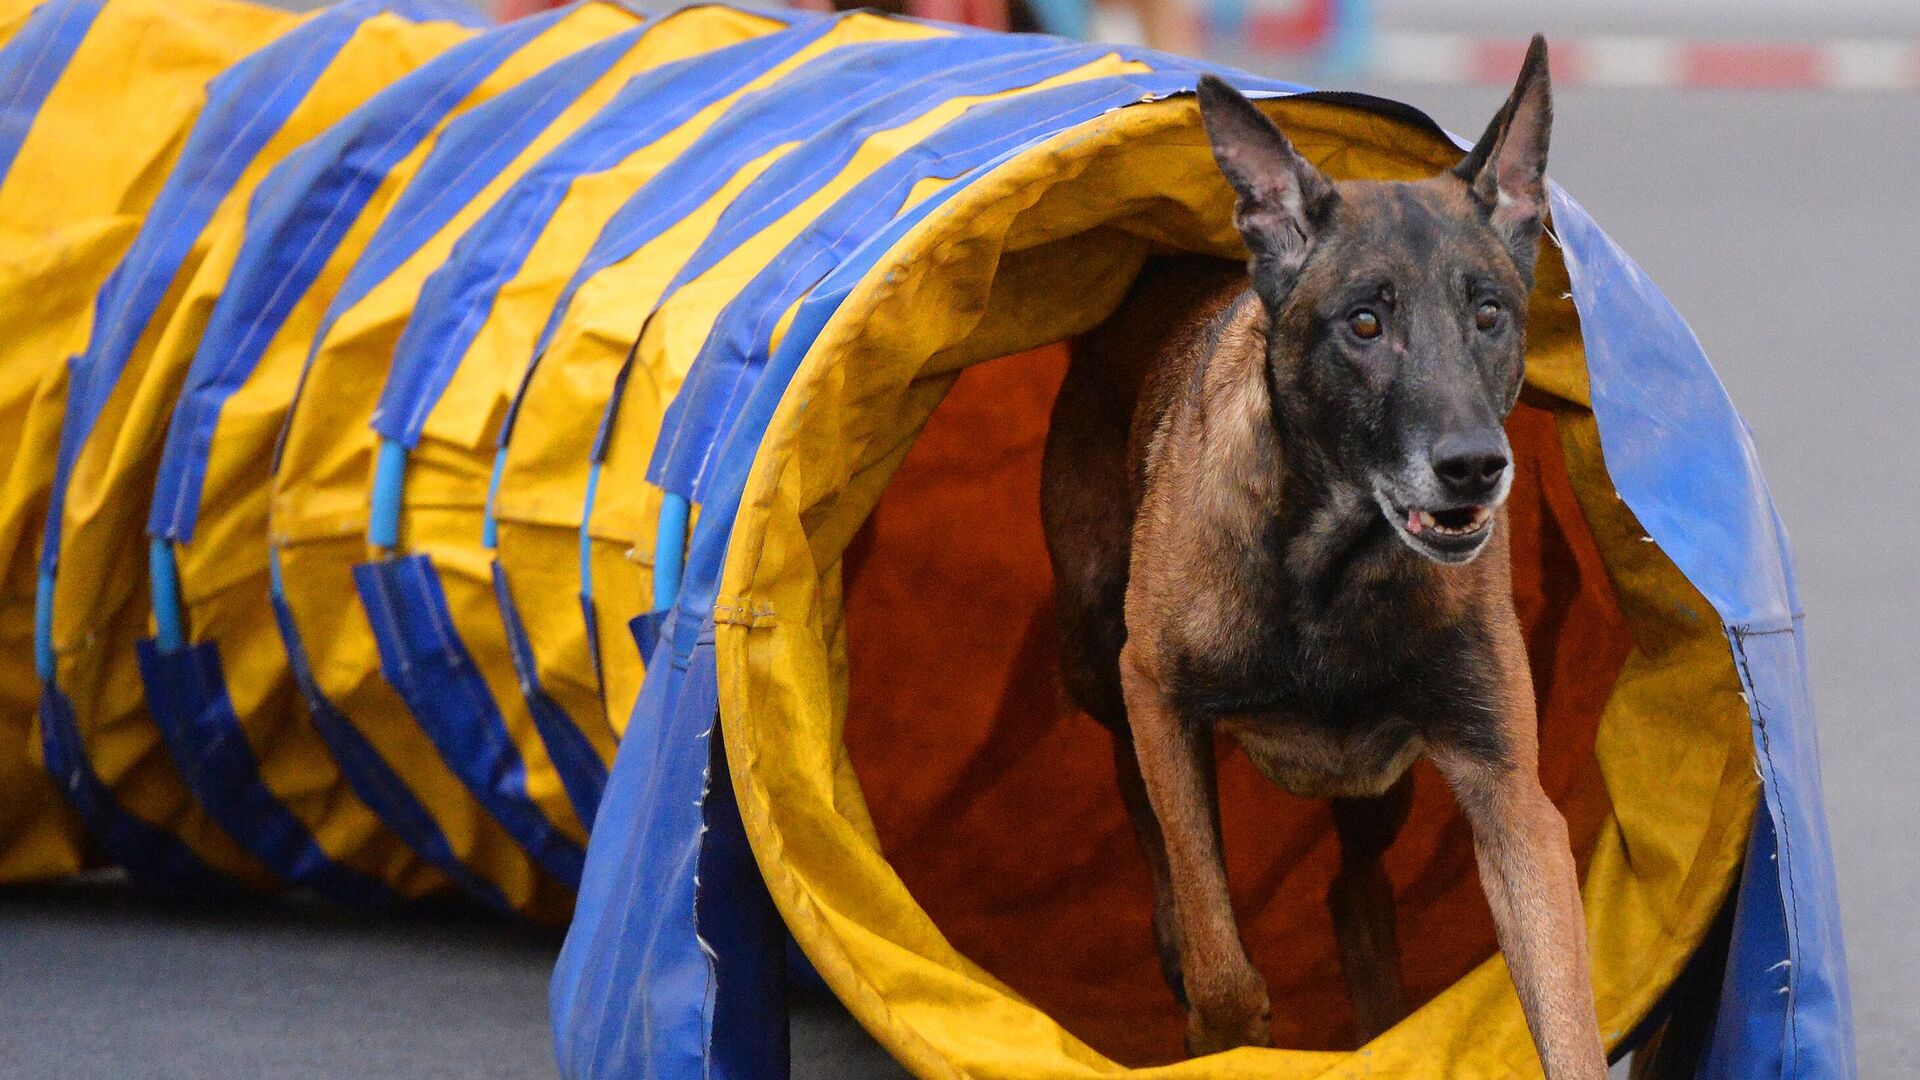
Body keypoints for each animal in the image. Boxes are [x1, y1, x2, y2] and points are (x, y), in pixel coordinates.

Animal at [1036, 35, 1605, 1076]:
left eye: (1491, 315)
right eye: (1365, 324)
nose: (1475, 467)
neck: (1338, 561)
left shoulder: (1510, 795)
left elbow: (1565, 1014)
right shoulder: (1158, 693)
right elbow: (1218, 945)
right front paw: (1218, 1028)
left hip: (1378, 787)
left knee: (1354, 885)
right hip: (1093, 649)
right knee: (1141, 801)